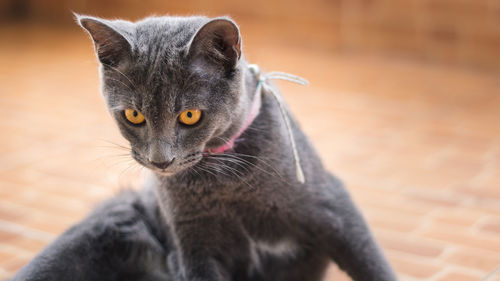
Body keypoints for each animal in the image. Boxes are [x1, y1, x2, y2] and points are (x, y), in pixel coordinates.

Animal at [12, 14, 398, 280]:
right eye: (134, 115)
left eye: (190, 115)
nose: (160, 160)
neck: (224, 179)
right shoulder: (193, 246)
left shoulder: (334, 208)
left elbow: (372, 264)